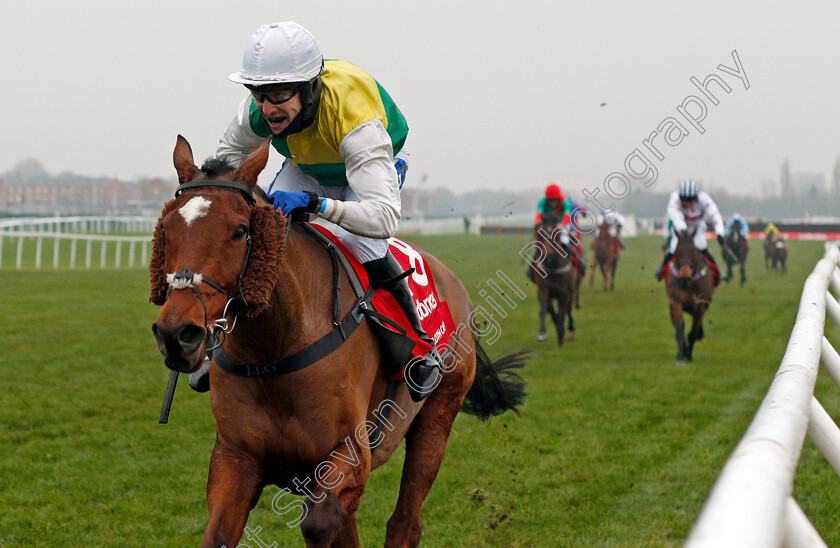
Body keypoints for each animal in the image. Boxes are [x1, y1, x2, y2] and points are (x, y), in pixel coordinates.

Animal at [148, 134, 520, 548]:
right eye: (166, 229)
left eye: (240, 231)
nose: (177, 334)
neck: (274, 349)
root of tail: (452, 281)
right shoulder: (235, 455)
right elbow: (218, 536)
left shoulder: (350, 455)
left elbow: (319, 524)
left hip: (438, 415)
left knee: (405, 522)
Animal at [536, 212, 576, 344]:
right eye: (541, 234)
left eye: (554, 233)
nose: (547, 255)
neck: (553, 265)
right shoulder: (544, 289)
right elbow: (545, 310)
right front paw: (542, 333)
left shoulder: (563, 291)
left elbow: (562, 312)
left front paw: (561, 335)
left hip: (571, 290)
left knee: (568, 308)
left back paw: (570, 326)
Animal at [664, 228, 716, 364]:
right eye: (676, 252)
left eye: (693, 252)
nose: (684, 278)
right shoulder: (675, 302)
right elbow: (679, 329)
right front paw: (680, 356)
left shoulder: (700, 304)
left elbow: (693, 332)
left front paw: (689, 356)